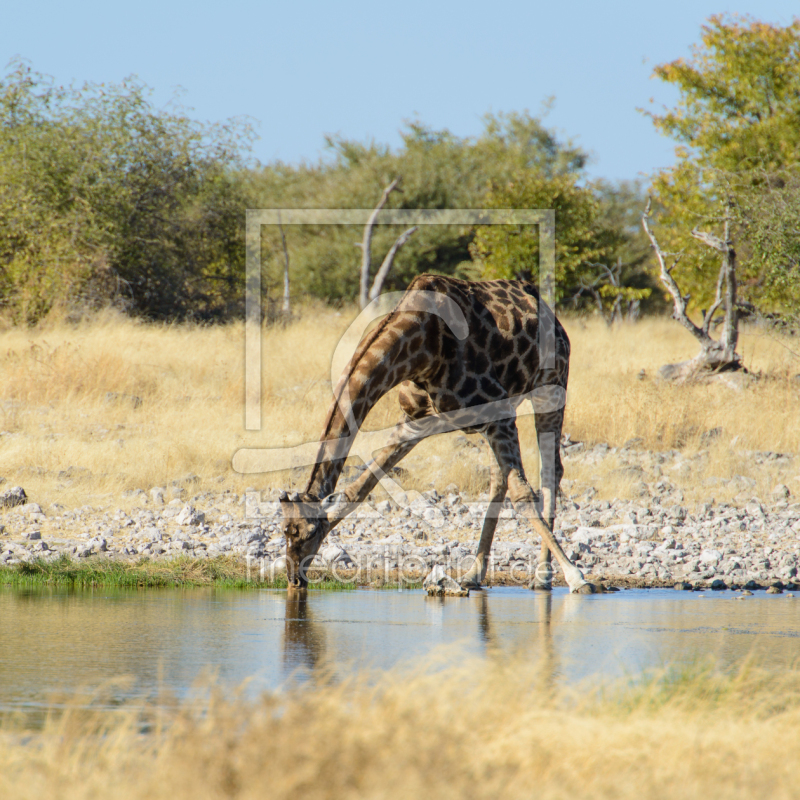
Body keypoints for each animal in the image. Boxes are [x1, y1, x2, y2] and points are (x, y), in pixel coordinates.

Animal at [282, 276, 592, 592]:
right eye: (284, 531)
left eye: (306, 533)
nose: (294, 578)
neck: (420, 349)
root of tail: (551, 316)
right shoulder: (417, 420)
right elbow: (358, 488)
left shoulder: (498, 411)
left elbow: (523, 493)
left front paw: (577, 576)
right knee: (499, 479)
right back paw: (473, 574)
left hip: (551, 387)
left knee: (551, 470)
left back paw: (543, 576)